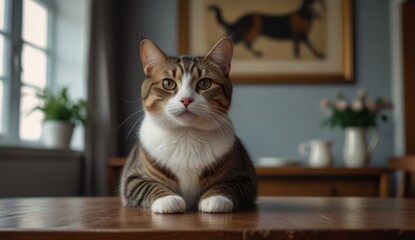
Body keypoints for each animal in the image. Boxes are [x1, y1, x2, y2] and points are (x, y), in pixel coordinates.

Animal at [118, 36, 258, 213]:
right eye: (168, 83)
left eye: (205, 83)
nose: (186, 99)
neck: (186, 134)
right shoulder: (132, 177)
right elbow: (146, 185)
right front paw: (167, 199)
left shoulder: (244, 177)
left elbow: (228, 186)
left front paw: (215, 198)